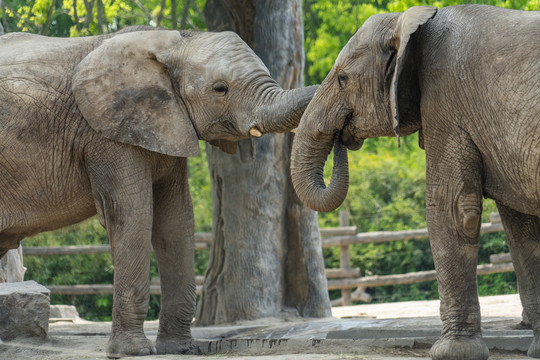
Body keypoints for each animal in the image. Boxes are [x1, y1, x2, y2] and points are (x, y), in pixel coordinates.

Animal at [0, 26, 318, 358]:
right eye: (220, 89)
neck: (173, 43)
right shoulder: (107, 133)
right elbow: (134, 215)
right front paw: (133, 352)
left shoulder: (167, 126)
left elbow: (175, 221)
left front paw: (181, 349)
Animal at [292, 4, 540, 360]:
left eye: (342, 78)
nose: (343, 136)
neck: (412, 22)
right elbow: (522, 230)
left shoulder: (447, 102)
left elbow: (452, 209)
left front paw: (451, 352)